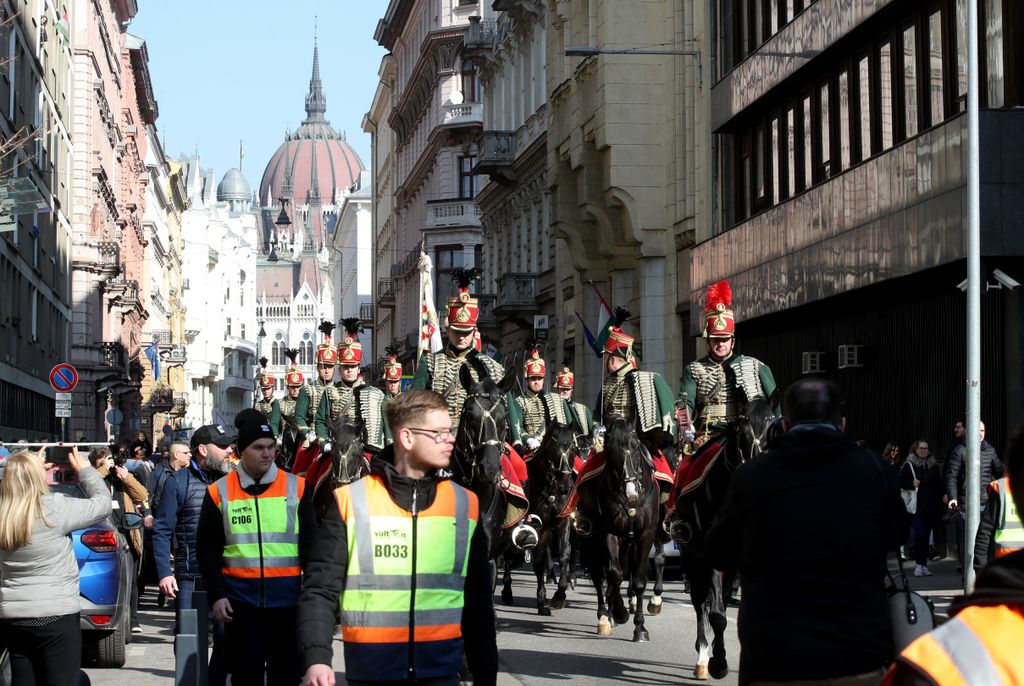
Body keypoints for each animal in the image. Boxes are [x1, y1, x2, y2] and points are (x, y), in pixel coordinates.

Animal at [524, 423, 581, 618]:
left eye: (573, 448)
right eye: (554, 448)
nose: (566, 486)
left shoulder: (563, 522)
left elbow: (564, 554)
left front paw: (559, 596)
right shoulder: (536, 527)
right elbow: (538, 563)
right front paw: (543, 601)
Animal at [573, 415, 659, 642]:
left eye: (636, 445)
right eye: (611, 451)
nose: (631, 492)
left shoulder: (646, 536)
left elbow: (638, 580)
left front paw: (640, 628)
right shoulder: (609, 533)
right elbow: (614, 574)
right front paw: (620, 612)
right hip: (591, 542)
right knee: (599, 575)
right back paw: (605, 616)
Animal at [667, 397, 770, 683]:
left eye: (773, 425)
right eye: (743, 429)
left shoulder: (738, 561)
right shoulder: (709, 555)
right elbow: (716, 614)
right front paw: (719, 664)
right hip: (692, 555)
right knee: (699, 603)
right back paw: (703, 656)